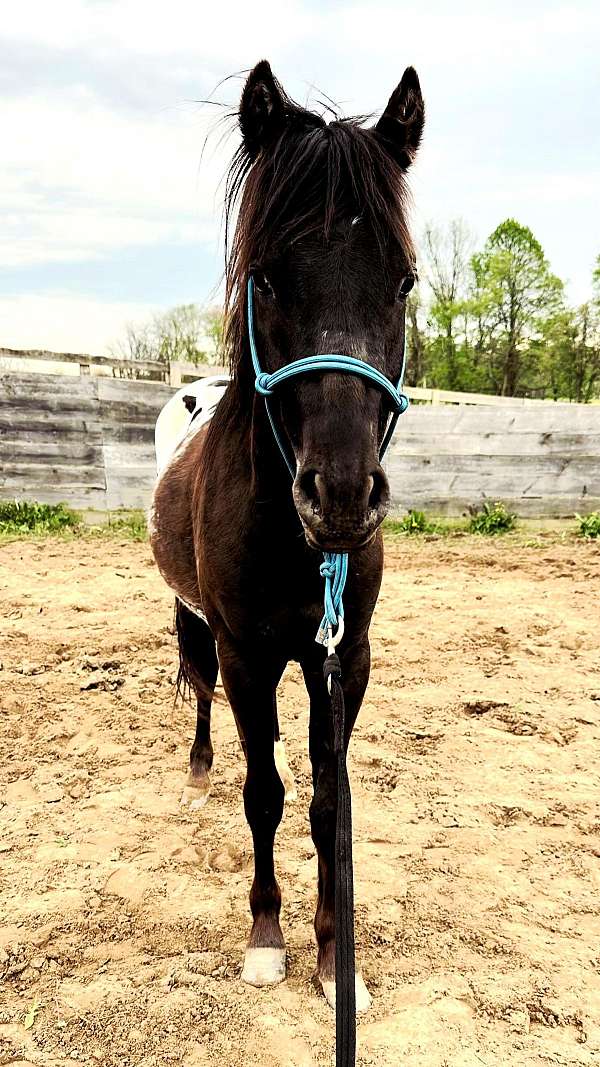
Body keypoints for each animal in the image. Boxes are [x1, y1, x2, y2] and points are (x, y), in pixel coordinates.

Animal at [150, 59, 424, 1011]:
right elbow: (263, 791)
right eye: (264, 278)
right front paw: (268, 937)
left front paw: (337, 957)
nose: (339, 494)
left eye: (404, 281)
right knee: (200, 690)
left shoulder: (344, 655)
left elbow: (328, 805)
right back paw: (199, 766)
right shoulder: (246, 651)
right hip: (196, 620)